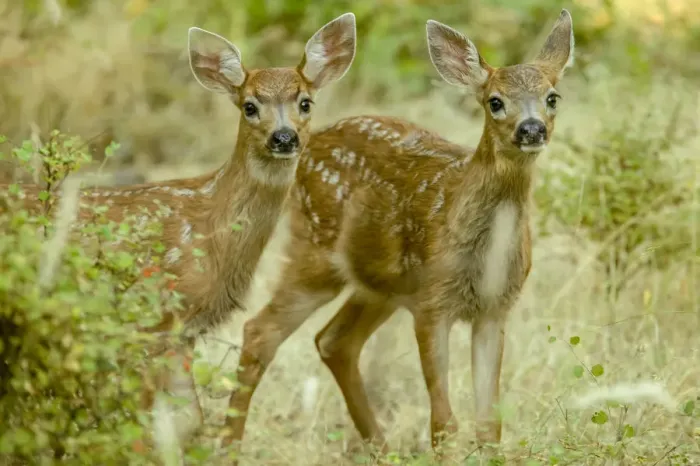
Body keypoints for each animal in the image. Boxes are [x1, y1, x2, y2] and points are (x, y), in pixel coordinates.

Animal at [1, 12, 357, 441]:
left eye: (305, 102)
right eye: (249, 106)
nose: (283, 137)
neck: (209, 228)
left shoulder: (183, 331)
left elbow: (189, 422)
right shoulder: (151, 319)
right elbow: (146, 424)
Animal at [220, 9, 574, 456]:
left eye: (552, 97)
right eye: (495, 101)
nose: (531, 129)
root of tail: (308, 143)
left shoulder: (495, 307)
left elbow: (488, 425)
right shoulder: (432, 302)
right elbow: (444, 423)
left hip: (380, 286)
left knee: (334, 341)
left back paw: (381, 449)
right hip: (316, 252)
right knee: (260, 331)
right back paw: (229, 446)